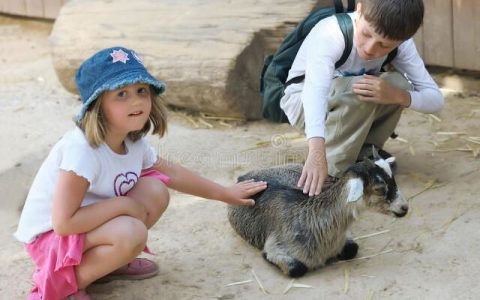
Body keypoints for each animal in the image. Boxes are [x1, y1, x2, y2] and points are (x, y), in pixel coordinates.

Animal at [227, 149, 406, 278]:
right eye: (379, 188)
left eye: (393, 179)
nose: (404, 208)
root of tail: (245, 176)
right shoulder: (275, 246)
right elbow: (296, 268)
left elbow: (352, 249)